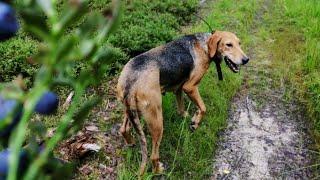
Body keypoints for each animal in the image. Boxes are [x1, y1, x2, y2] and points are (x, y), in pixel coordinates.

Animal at [116, 30, 249, 174]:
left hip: (131, 111)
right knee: (153, 156)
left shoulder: (179, 88)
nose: (246, 60)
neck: (205, 45)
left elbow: (181, 109)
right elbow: (203, 108)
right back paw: (159, 170)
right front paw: (195, 123)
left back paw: (131, 143)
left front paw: (187, 117)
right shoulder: (190, 87)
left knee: (124, 129)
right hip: (157, 121)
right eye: (228, 45)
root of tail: (131, 81)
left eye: (239, 43)